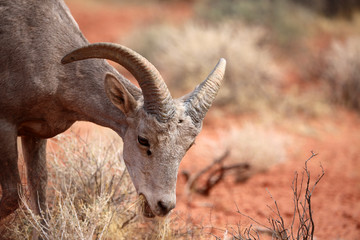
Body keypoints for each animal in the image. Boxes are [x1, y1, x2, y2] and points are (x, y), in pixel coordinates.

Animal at [0, 0, 225, 218]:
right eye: (143, 140)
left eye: (189, 145)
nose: (163, 206)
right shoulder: (6, 126)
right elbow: (12, 196)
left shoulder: (35, 134)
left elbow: (39, 194)